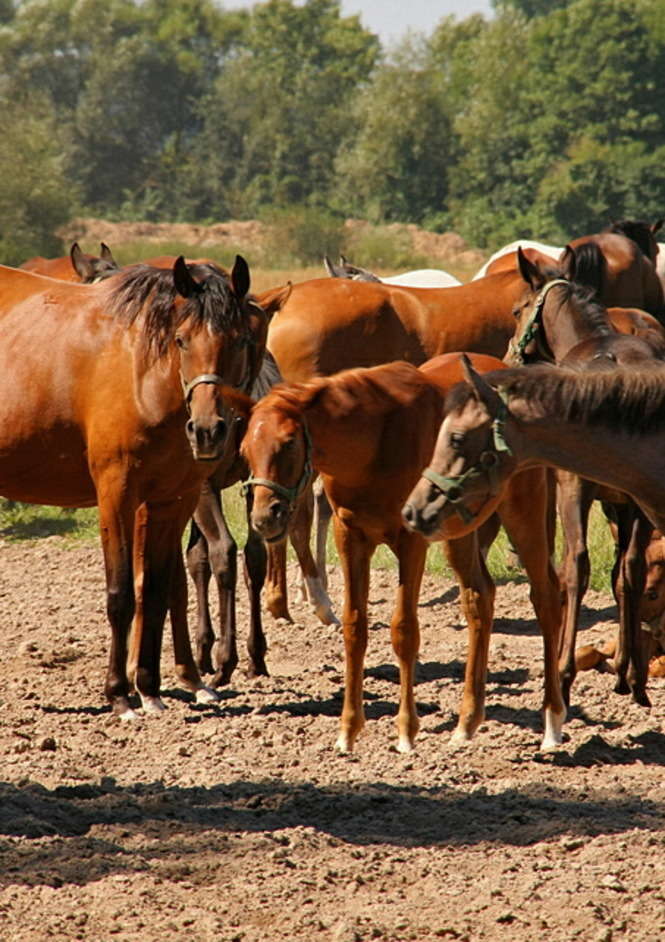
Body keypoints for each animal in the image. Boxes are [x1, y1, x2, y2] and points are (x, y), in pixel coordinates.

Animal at [0, 258, 258, 716]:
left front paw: (151, 688)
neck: (141, 374)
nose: (209, 430)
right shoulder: (117, 495)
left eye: (242, 339)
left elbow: (155, 591)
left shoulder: (172, 501)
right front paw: (119, 693)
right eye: (181, 339)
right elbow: (121, 593)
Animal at [240, 358, 564, 756]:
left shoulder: (411, 541)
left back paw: (552, 723)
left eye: (287, 444)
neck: (372, 443)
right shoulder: (350, 537)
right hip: (459, 534)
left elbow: (404, 631)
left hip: (523, 511)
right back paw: (467, 722)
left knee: (546, 597)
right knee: (480, 597)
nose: (263, 518)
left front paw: (406, 732)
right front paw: (348, 730)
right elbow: (354, 626)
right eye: (244, 450)